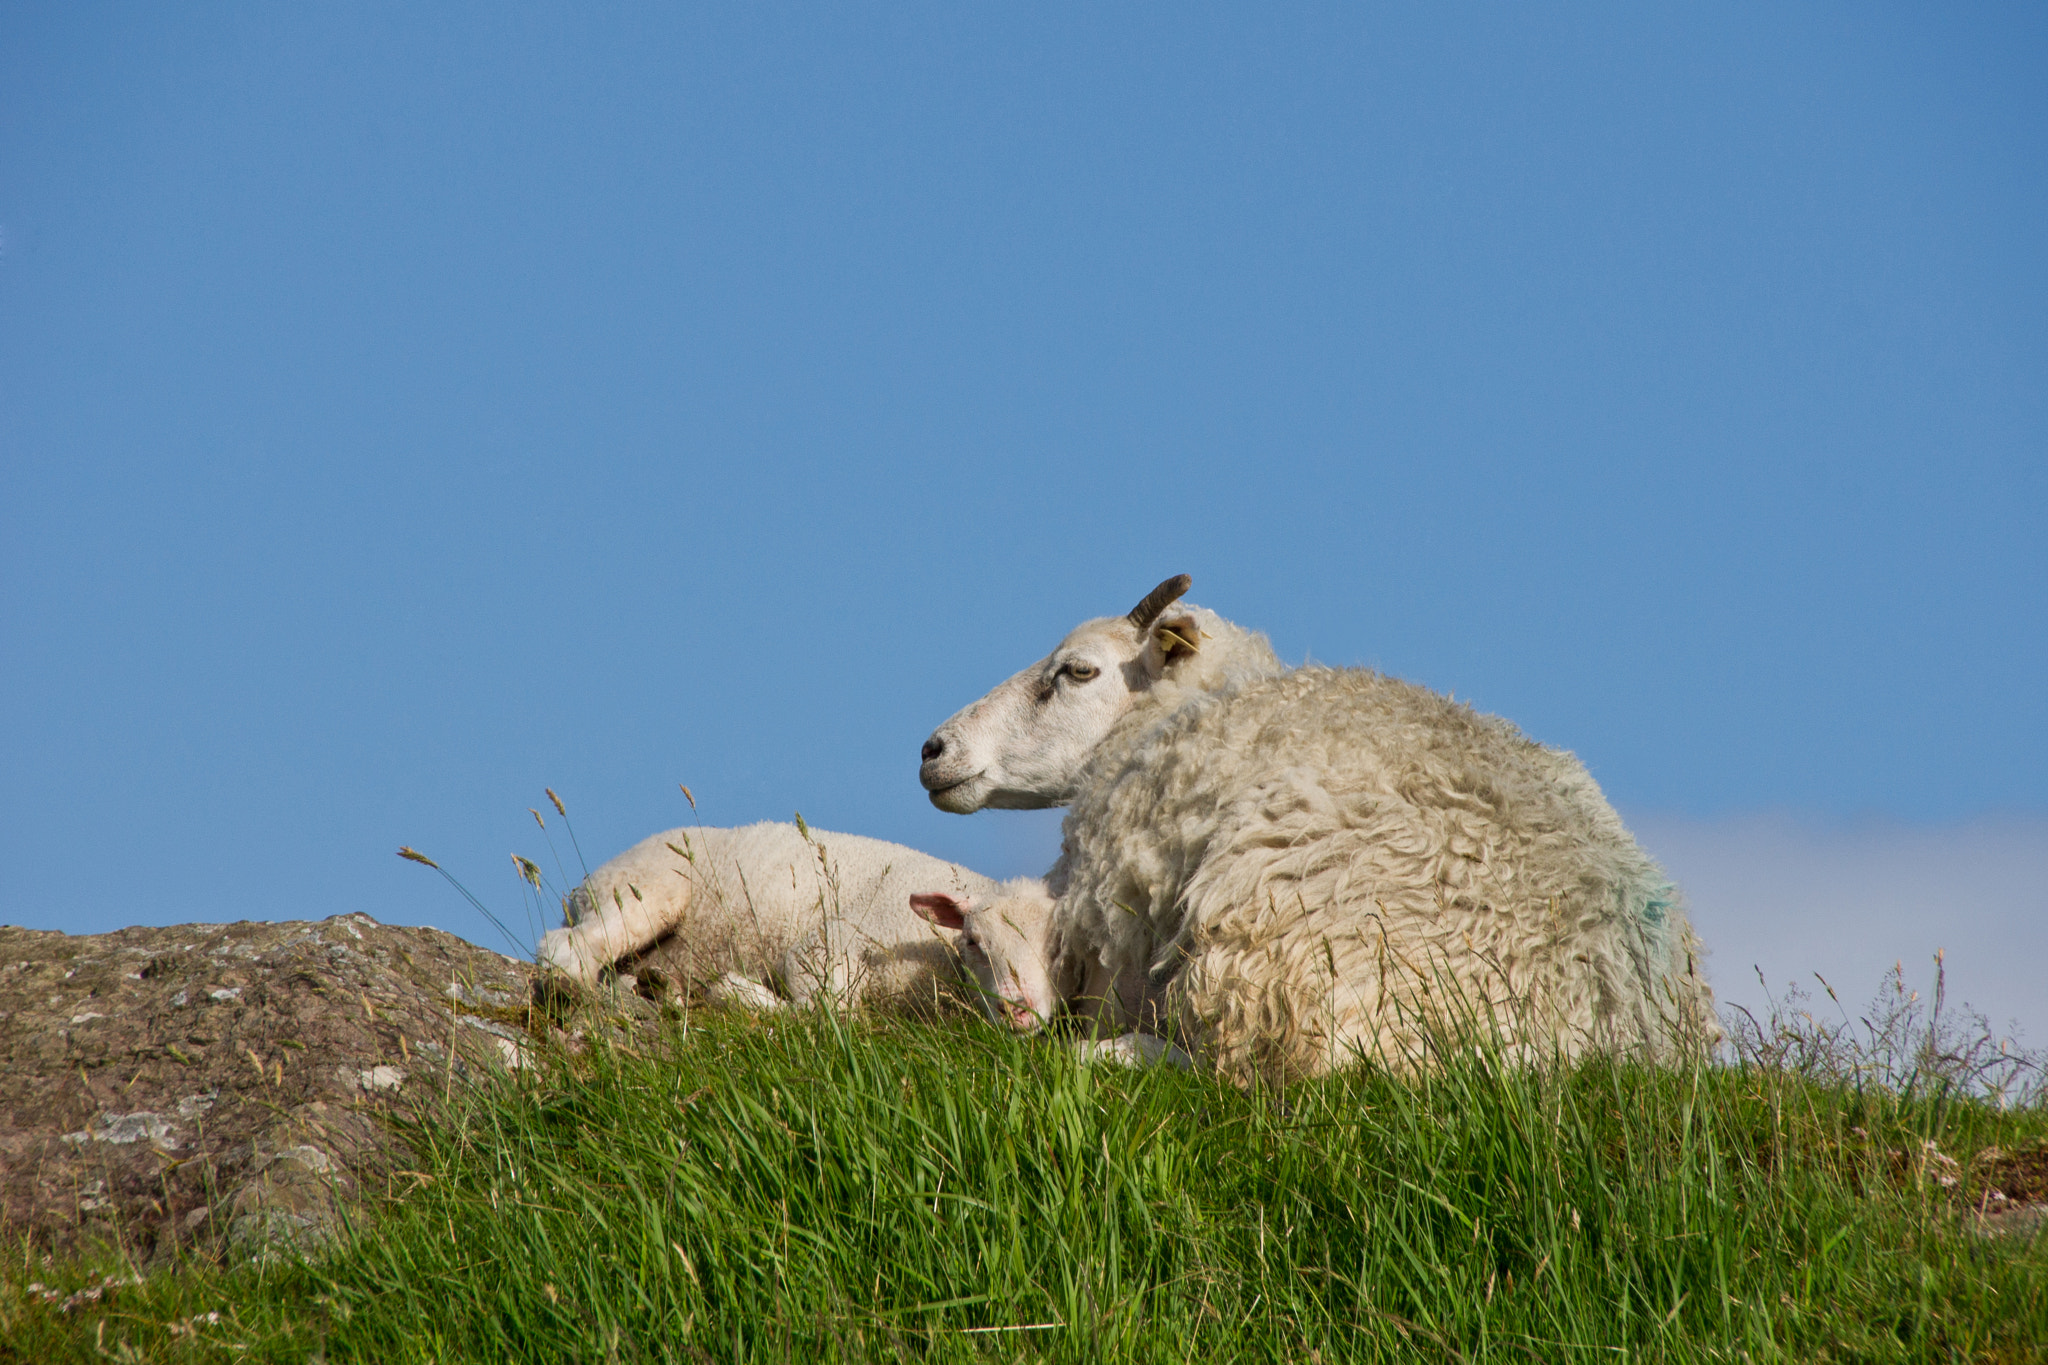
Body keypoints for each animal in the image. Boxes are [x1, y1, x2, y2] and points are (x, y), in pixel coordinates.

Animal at [535, 821, 1046, 1017]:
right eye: (975, 942)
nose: (1018, 1008)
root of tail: (579, 889)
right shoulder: (829, 944)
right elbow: (825, 1015)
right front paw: (736, 992)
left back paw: (656, 988)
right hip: (642, 887)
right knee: (568, 944)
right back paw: (569, 985)